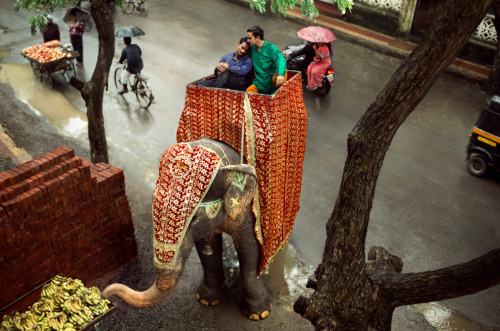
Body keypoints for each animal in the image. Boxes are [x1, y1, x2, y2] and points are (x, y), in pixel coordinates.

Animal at [102, 138, 274, 322]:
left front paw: (258, 314)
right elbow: (207, 248)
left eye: (194, 219)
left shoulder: (249, 208)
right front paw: (207, 300)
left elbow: (249, 249)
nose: (105, 295)